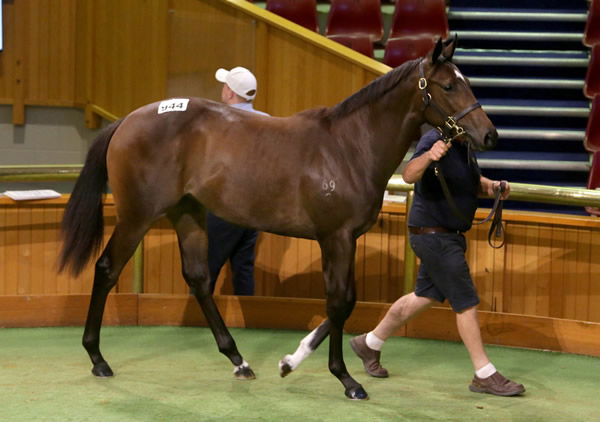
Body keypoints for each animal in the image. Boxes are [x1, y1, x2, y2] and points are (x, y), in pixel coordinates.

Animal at [58, 37, 496, 398]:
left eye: (466, 83)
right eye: (448, 86)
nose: (489, 135)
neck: (349, 147)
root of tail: (127, 121)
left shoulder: (346, 239)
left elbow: (345, 302)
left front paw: (290, 361)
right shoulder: (335, 237)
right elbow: (339, 302)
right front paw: (345, 379)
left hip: (188, 213)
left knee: (199, 280)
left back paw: (239, 361)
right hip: (137, 216)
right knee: (107, 268)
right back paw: (98, 358)